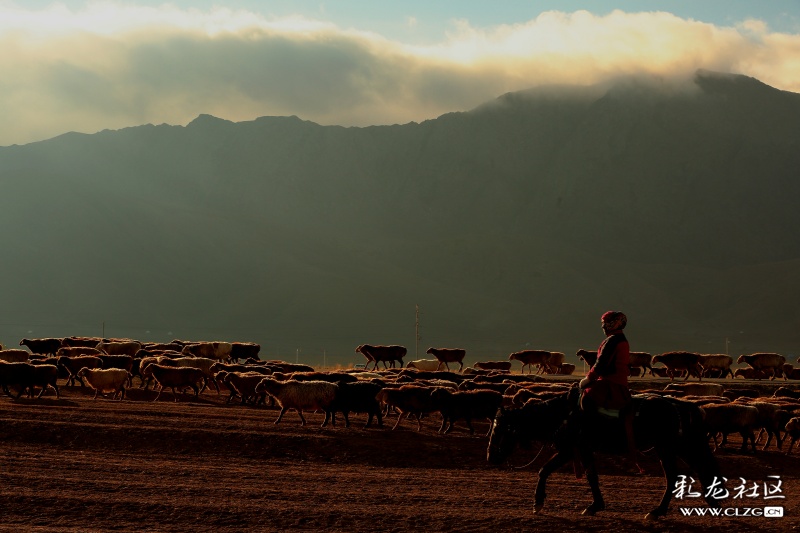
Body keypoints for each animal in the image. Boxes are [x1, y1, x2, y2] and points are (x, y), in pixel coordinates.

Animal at [484, 386, 720, 520]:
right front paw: (539, 503)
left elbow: (586, 476)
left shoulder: (575, 449)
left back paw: (658, 511)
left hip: (670, 448)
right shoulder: (574, 451)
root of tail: (677, 404)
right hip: (677, 447)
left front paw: (593, 506)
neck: (564, 414)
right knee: (695, 469)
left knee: (677, 475)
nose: (490, 457)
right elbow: (549, 471)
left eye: (500, 430)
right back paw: (708, 502)